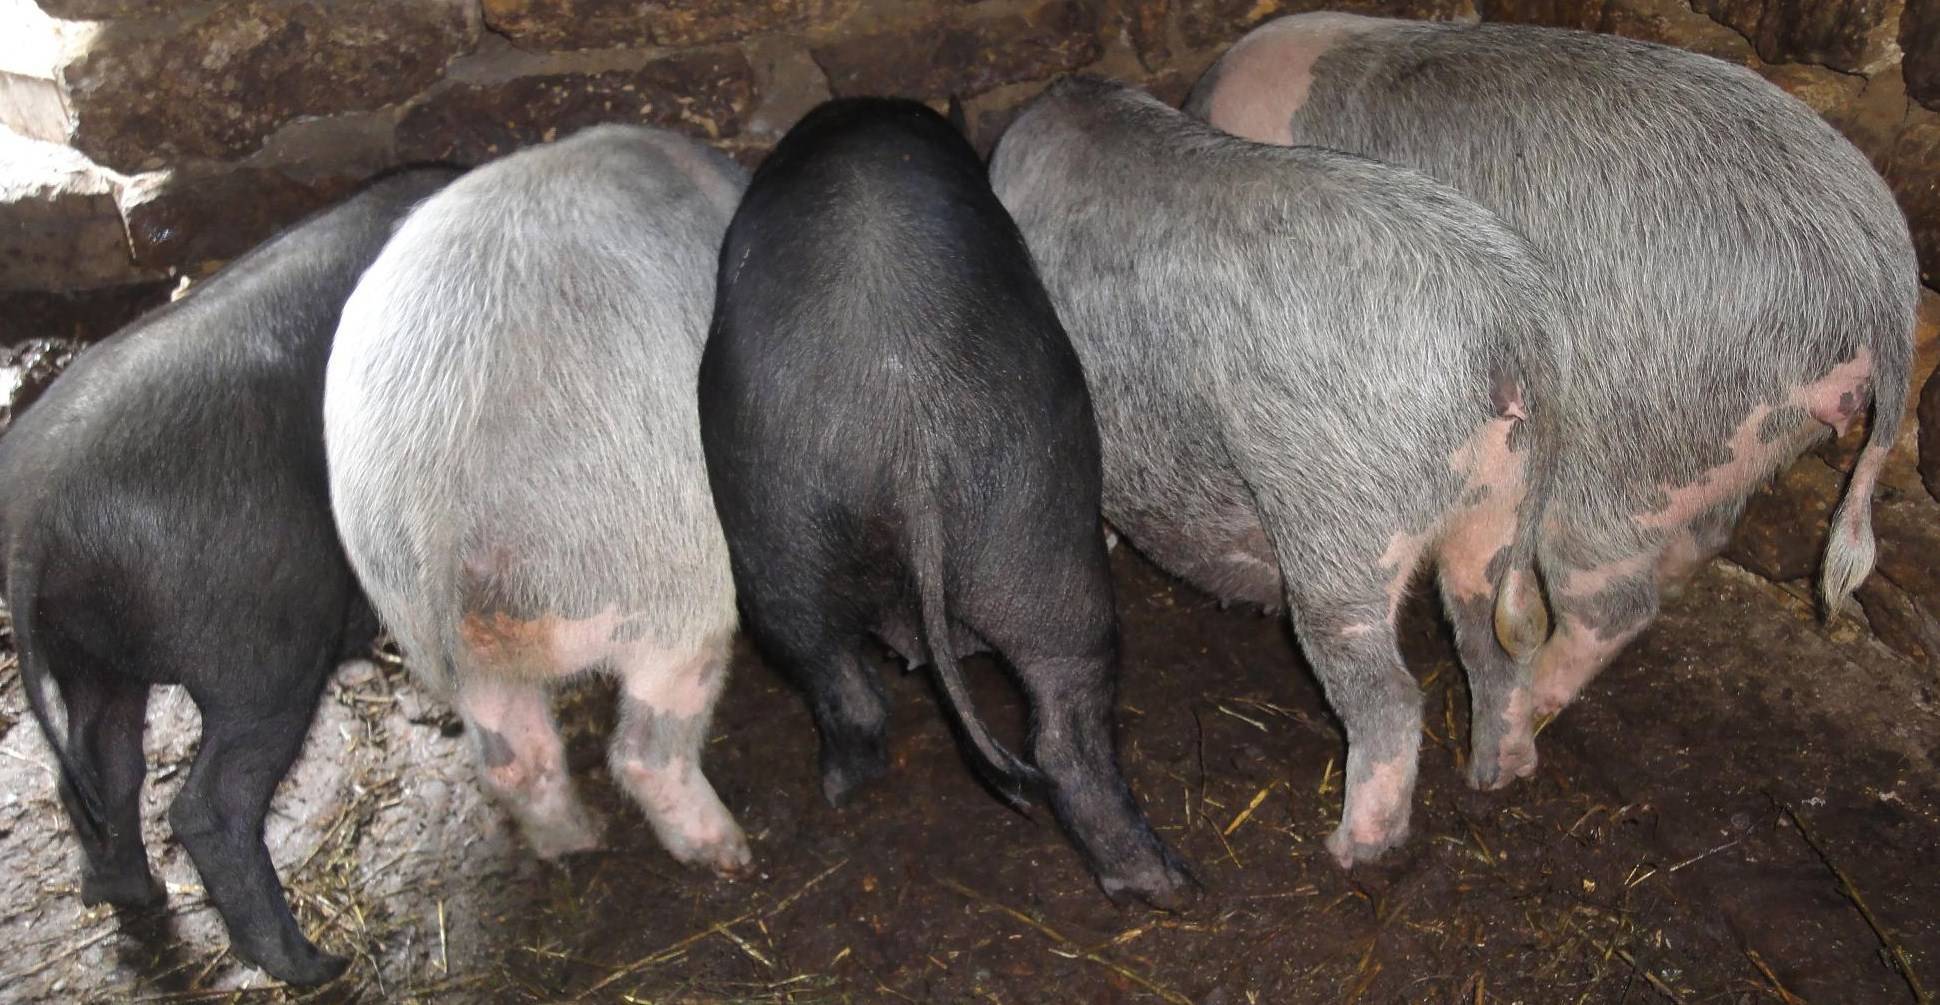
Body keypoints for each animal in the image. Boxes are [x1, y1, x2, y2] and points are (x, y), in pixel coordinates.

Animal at [0, 168, 457, 985]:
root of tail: (33, 520)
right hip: (262, 640)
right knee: (208, 804)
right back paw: (316, 964)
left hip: (89, 653)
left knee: (101, 765)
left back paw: (132, 894)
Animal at [323, 126, 751, 875]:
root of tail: (444, 512)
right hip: (665, 589)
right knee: (644, 751)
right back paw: (727, 850)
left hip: (427, 624)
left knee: (510, 755)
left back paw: (574, 841)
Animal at [698, 97, 1193, 907]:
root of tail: (910, 445)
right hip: (1029, 524)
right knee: (1064, 724)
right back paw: (1166, 882)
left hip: (788, 529)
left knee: (839, 676)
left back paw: (844, 787)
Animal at [989, 76, 1562, 866]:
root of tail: (1513, 332)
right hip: (1497, 503)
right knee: (1494, 638)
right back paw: (1497, 777)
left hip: (1340, 517)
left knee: (1388, 694)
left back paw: (1350, 850)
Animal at [1187, 15, 1920, 737]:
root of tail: (1880, 281)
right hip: (1740, 435)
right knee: (1704, 535)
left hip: (1626, 450)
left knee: (1613, 602)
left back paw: (1533, 697)